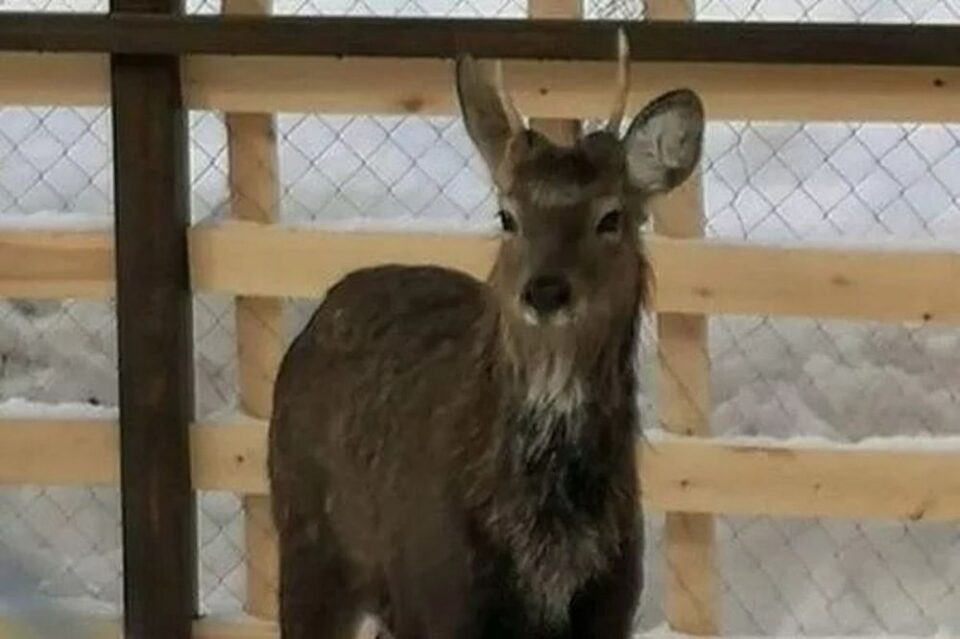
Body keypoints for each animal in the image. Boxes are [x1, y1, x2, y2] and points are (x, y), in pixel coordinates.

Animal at [268, 30, 704, 639]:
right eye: (507, 216)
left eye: (611, 217)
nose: (546, 291)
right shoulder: (438, 598)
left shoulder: (613, 604)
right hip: (307, 537)